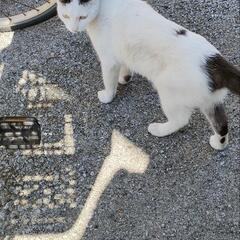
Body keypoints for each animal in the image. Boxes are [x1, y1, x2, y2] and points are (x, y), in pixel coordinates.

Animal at [56, 0, 240, 150]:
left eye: (82, 17)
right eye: (66, 16)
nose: (73, 29)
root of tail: (215, 63)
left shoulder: (108, 60)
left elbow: (109, 82)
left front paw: (107, 96)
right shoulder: (123, 52)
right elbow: (126, 67)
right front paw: (125, 78)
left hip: (169, 93)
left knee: (180, 120)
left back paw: (158, 129)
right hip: (210, 102)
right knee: (222, 125)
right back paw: (219, 144)